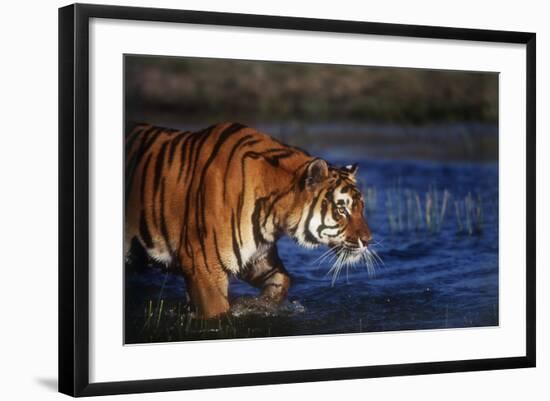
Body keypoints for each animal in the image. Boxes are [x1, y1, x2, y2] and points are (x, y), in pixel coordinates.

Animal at [125, 122, 376, 316]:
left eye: (361, 207)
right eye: (342, 209)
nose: (368, 241)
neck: (273, 216)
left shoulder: (256, 256)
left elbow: (282, 280)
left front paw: (257, 305)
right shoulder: (203, 265)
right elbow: (218, 315)